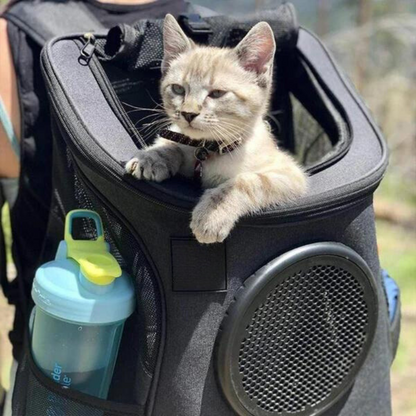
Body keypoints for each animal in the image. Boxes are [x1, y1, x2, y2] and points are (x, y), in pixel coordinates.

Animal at [125, 13, 308, 244]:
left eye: (217, 93)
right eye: (178, 89)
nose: (188, 113)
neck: (207, 149)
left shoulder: (290, 174)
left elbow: (245, 181)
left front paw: (212, 215)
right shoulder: (178, 134)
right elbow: (172, 143)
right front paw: (151, 157)